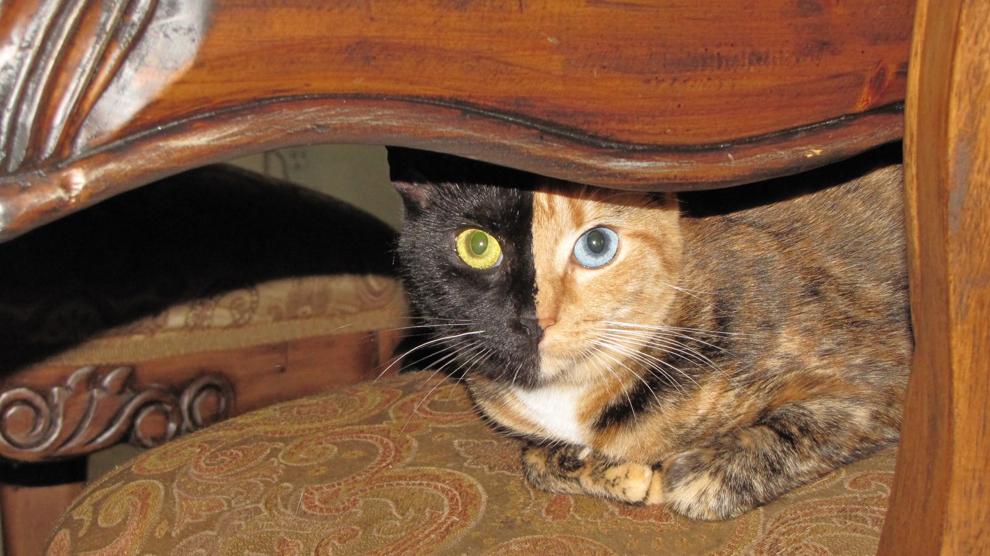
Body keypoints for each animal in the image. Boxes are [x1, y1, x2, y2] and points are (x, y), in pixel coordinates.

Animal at [389, 145, 910, 520]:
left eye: (597, 244)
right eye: (477, 245)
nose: (536, 319)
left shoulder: (878, 381)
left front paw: (691, 473)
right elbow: (534, 459)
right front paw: (609, 471)